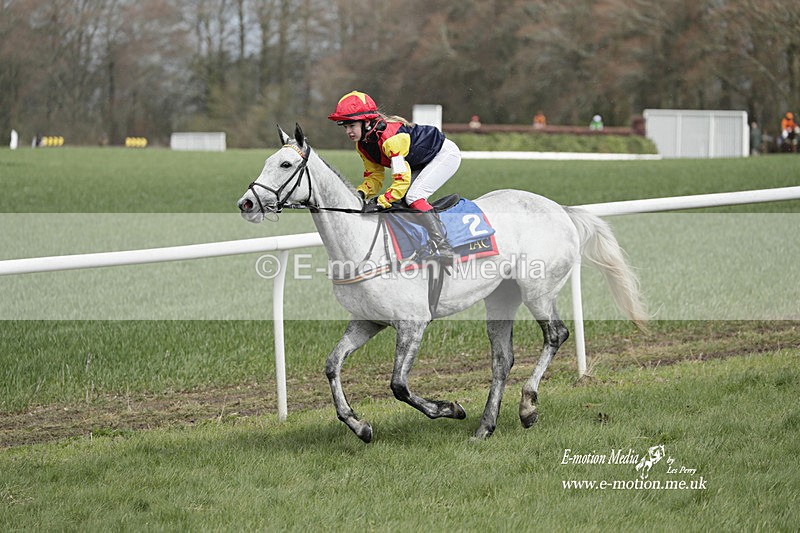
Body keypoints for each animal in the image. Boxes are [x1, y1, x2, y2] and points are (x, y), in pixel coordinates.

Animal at [237, 124, 647, 442]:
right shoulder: (367, 321)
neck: (361, 242)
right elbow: (331, 365)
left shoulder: (413, 323)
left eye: (285, 164)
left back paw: (527, 406)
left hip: (538, 289)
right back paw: (485, 426)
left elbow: (399, 385)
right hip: (502, 297)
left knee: (555, 335)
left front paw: (450, 407)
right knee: (502, 358)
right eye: (266, 161)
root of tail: (560, 209)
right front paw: (359, 425)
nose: (246, 204)